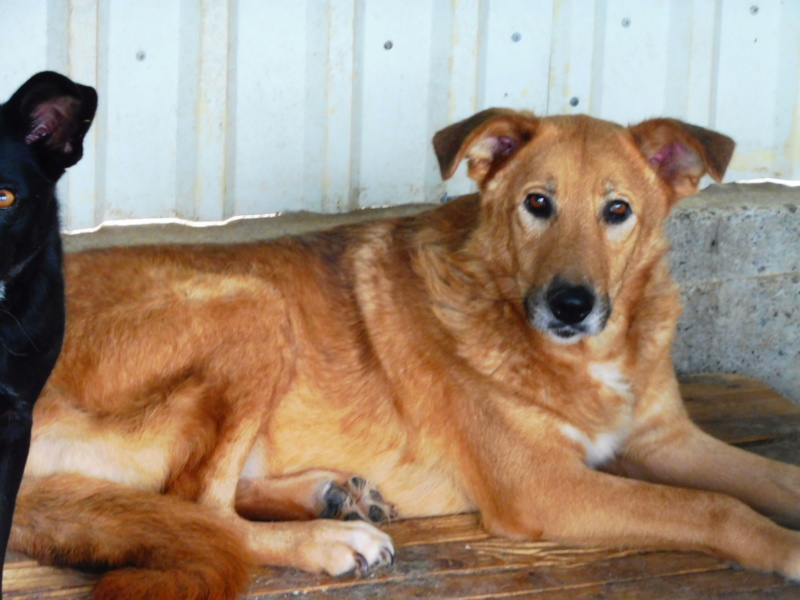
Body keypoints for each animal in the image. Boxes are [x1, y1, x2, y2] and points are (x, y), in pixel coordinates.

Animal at [10, 109, 800, 600]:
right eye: (537, 204)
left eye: (618, 212)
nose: (570, 305)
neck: (592, 353)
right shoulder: (542, 488)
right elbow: (713, 508)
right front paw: (784, 548)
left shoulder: (667, 439)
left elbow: (768, 476)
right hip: (253, 304)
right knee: (197, 506)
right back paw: (330, 538)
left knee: (198, 493)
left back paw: (331, 492)